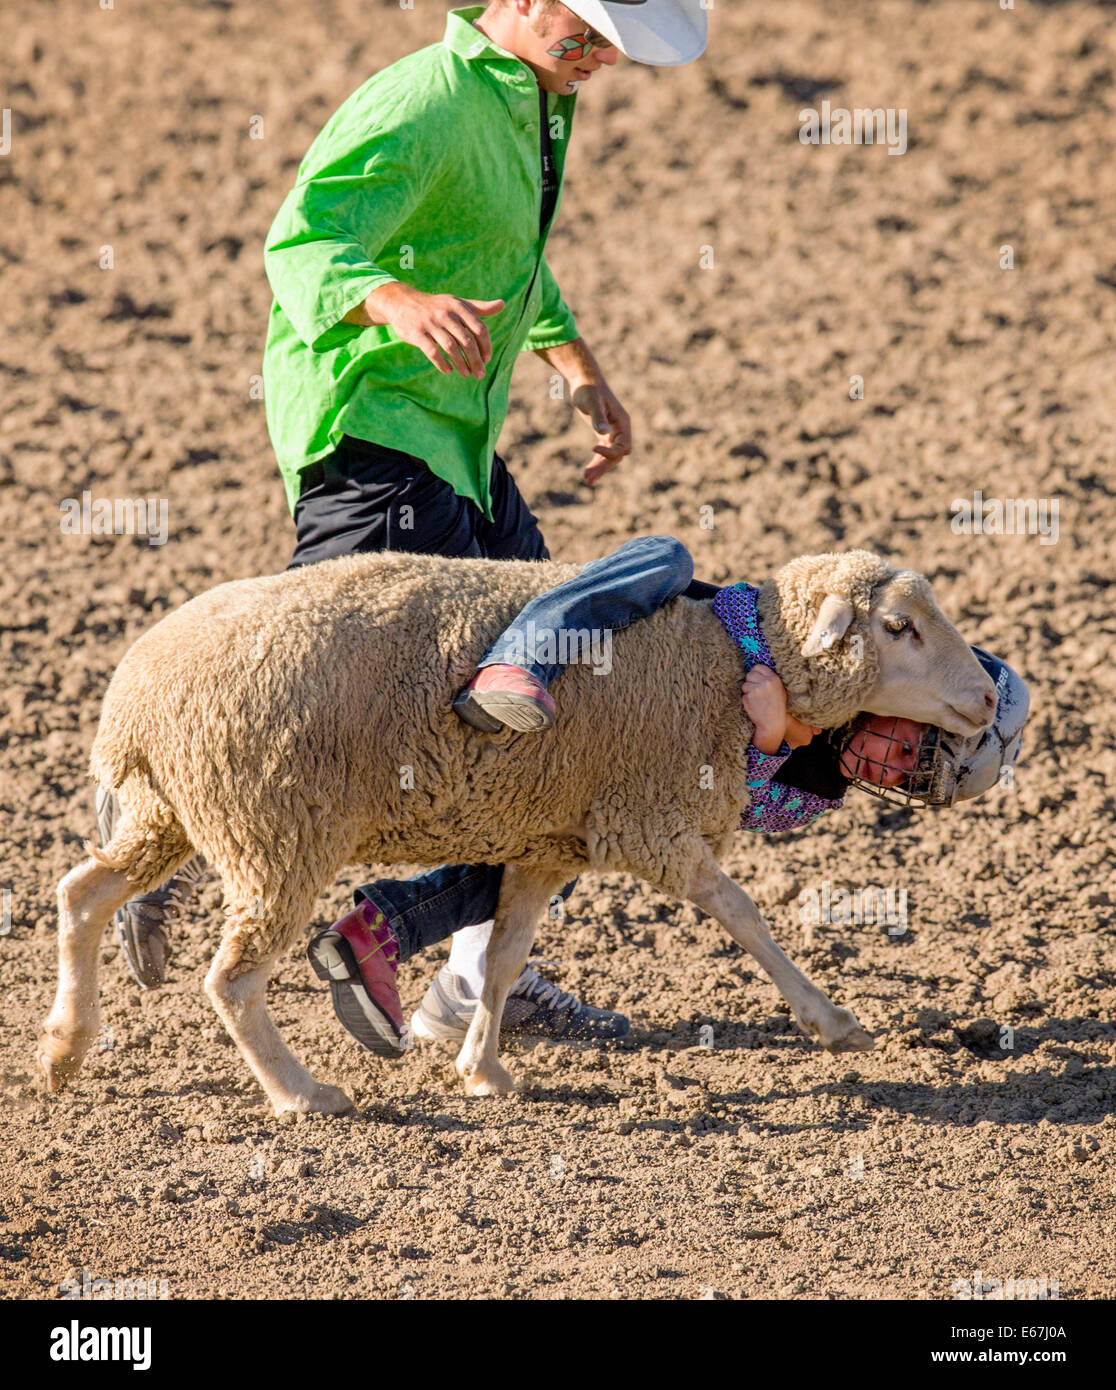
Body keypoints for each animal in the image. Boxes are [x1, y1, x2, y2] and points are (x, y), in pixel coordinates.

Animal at [37, 544, 995, 1117]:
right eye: (899, 628)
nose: (989, 698)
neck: (730, 662)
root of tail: (132, 695)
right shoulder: (647, 822)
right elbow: (742, 913)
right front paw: (832, 1021)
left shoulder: (545, 845)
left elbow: (501, 959)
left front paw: (483, 1070)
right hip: (272, 834)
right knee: (231, 980)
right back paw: (302, 1093)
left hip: (172, 815)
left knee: (81, 894)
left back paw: (64, 1049)